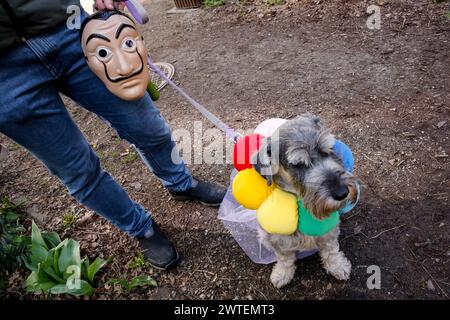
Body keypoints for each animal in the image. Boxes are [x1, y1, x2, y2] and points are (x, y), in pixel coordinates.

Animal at [253, 114, 358, 288]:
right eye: (298, 165)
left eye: (326, 151)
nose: (342, 192)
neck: (300, 199)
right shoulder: (278, 239)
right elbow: (285, 258)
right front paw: (282, 274)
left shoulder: (329, 231)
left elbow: (330, 250)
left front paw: (338, 266)